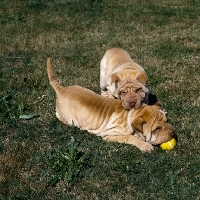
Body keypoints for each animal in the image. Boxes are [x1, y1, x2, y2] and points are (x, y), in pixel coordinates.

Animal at [47, 58, 175, 152]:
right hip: (69, 120)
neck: (133, 113)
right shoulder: (111, 134)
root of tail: (61, 89)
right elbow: (130, 137)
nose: (173, 132)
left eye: (166, 121)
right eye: (157, 128)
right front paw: (144, 145)